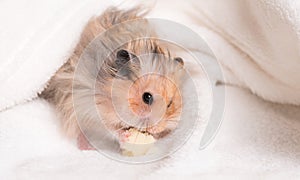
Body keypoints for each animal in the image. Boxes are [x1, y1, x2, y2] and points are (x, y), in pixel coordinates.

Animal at [39, 6, 185, 150]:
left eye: (170, 103)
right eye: (147, 97)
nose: (155, 129)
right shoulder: (89, 107)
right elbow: (108, 129)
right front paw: (125, 136)